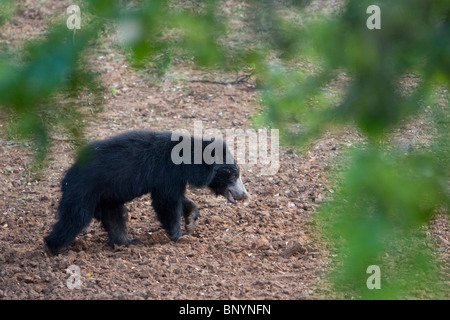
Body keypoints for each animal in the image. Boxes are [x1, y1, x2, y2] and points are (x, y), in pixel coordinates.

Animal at [44, 130, 248, 255]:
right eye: (233, 175)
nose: (244, 195)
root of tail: (68, 175)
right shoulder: (166, 173)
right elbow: (166, 202)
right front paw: (178, 236)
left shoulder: (173, 179)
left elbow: (178, 198)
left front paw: (190, 219)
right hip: (83, 191)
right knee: (74, 218)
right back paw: (54, 247)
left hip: (106, 197)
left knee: (114, 218)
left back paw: (127, 242)